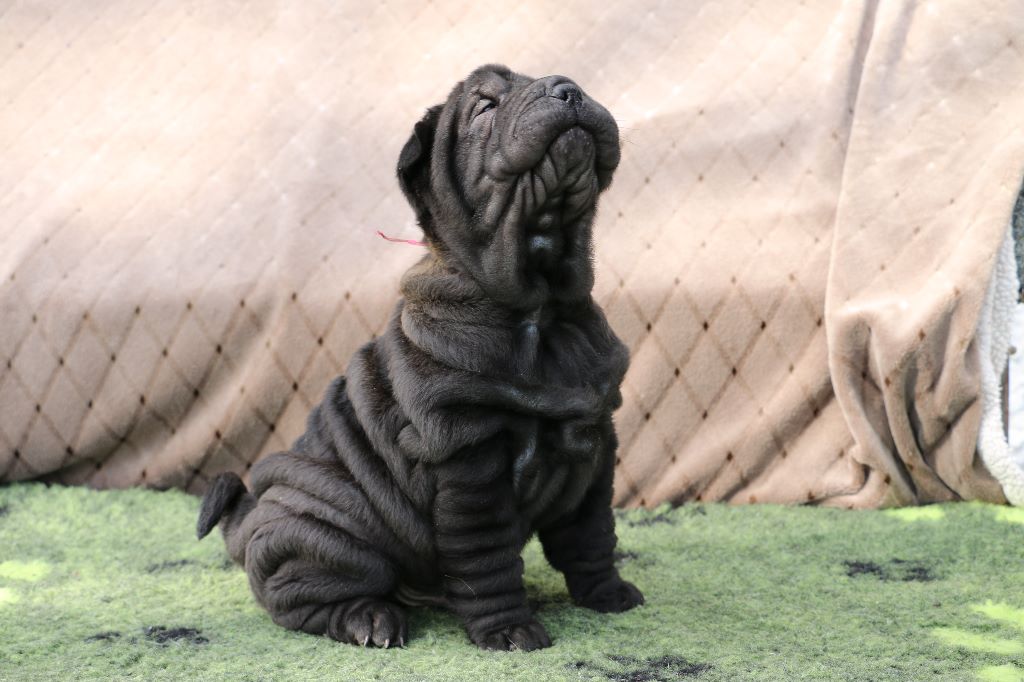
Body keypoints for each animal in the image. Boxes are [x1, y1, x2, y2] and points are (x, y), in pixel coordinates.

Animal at [197, 64, 643, 651]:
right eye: (485, 106)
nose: (567, 89)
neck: (543, 309)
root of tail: (248, 520)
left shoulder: (595, 441)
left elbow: (592, 535)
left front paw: (608, 595)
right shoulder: (468, 456)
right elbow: (486, 559)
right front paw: (509, 630)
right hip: (331, 534)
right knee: (303, 601)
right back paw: (370, 621)